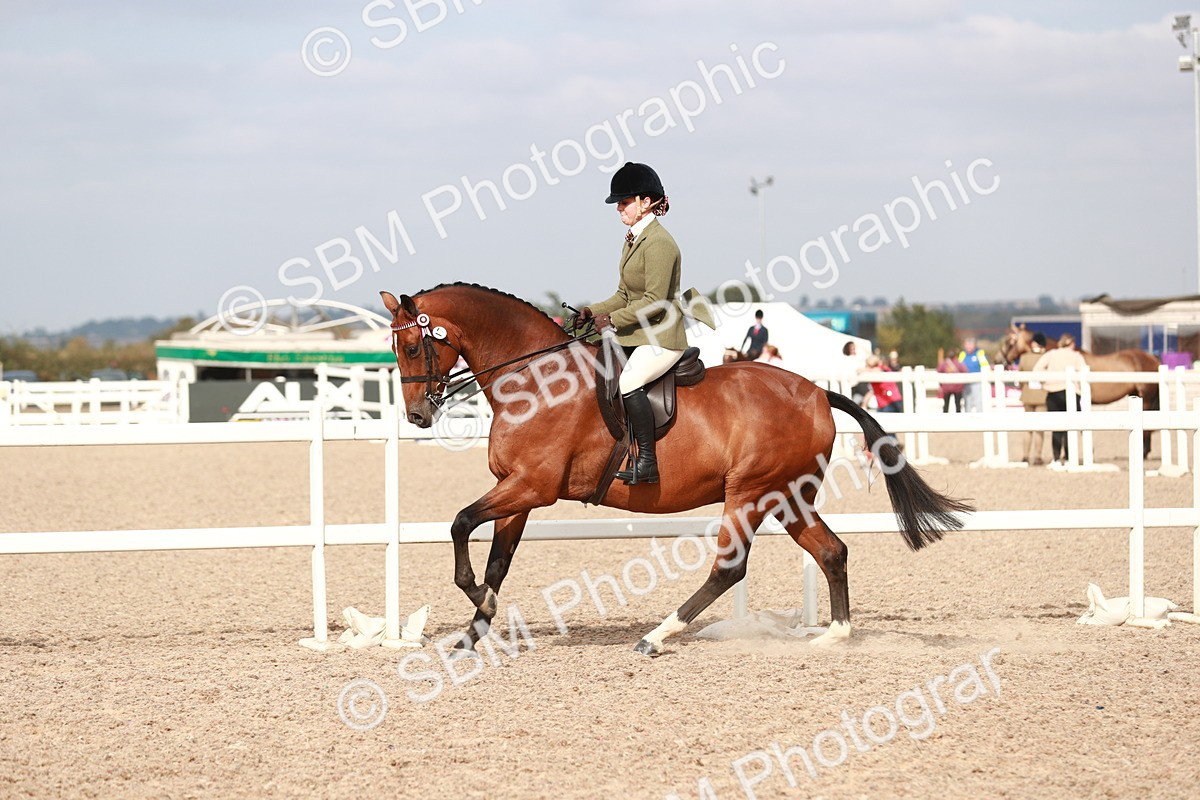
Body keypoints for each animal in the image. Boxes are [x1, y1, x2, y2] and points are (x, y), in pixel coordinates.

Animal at [381, 283, 973, 656]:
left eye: (411, 345)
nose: (417, 416)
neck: (534, 380)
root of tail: (816, 393)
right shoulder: (516, 490)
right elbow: (498, 560)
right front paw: (473, 631)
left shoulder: (532, 486)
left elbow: (460, 523)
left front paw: (476, 601)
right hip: (786, 495)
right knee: (831, 551)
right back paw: (832, 635)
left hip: (750, 493)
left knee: (730, 568)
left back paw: (657, 637)